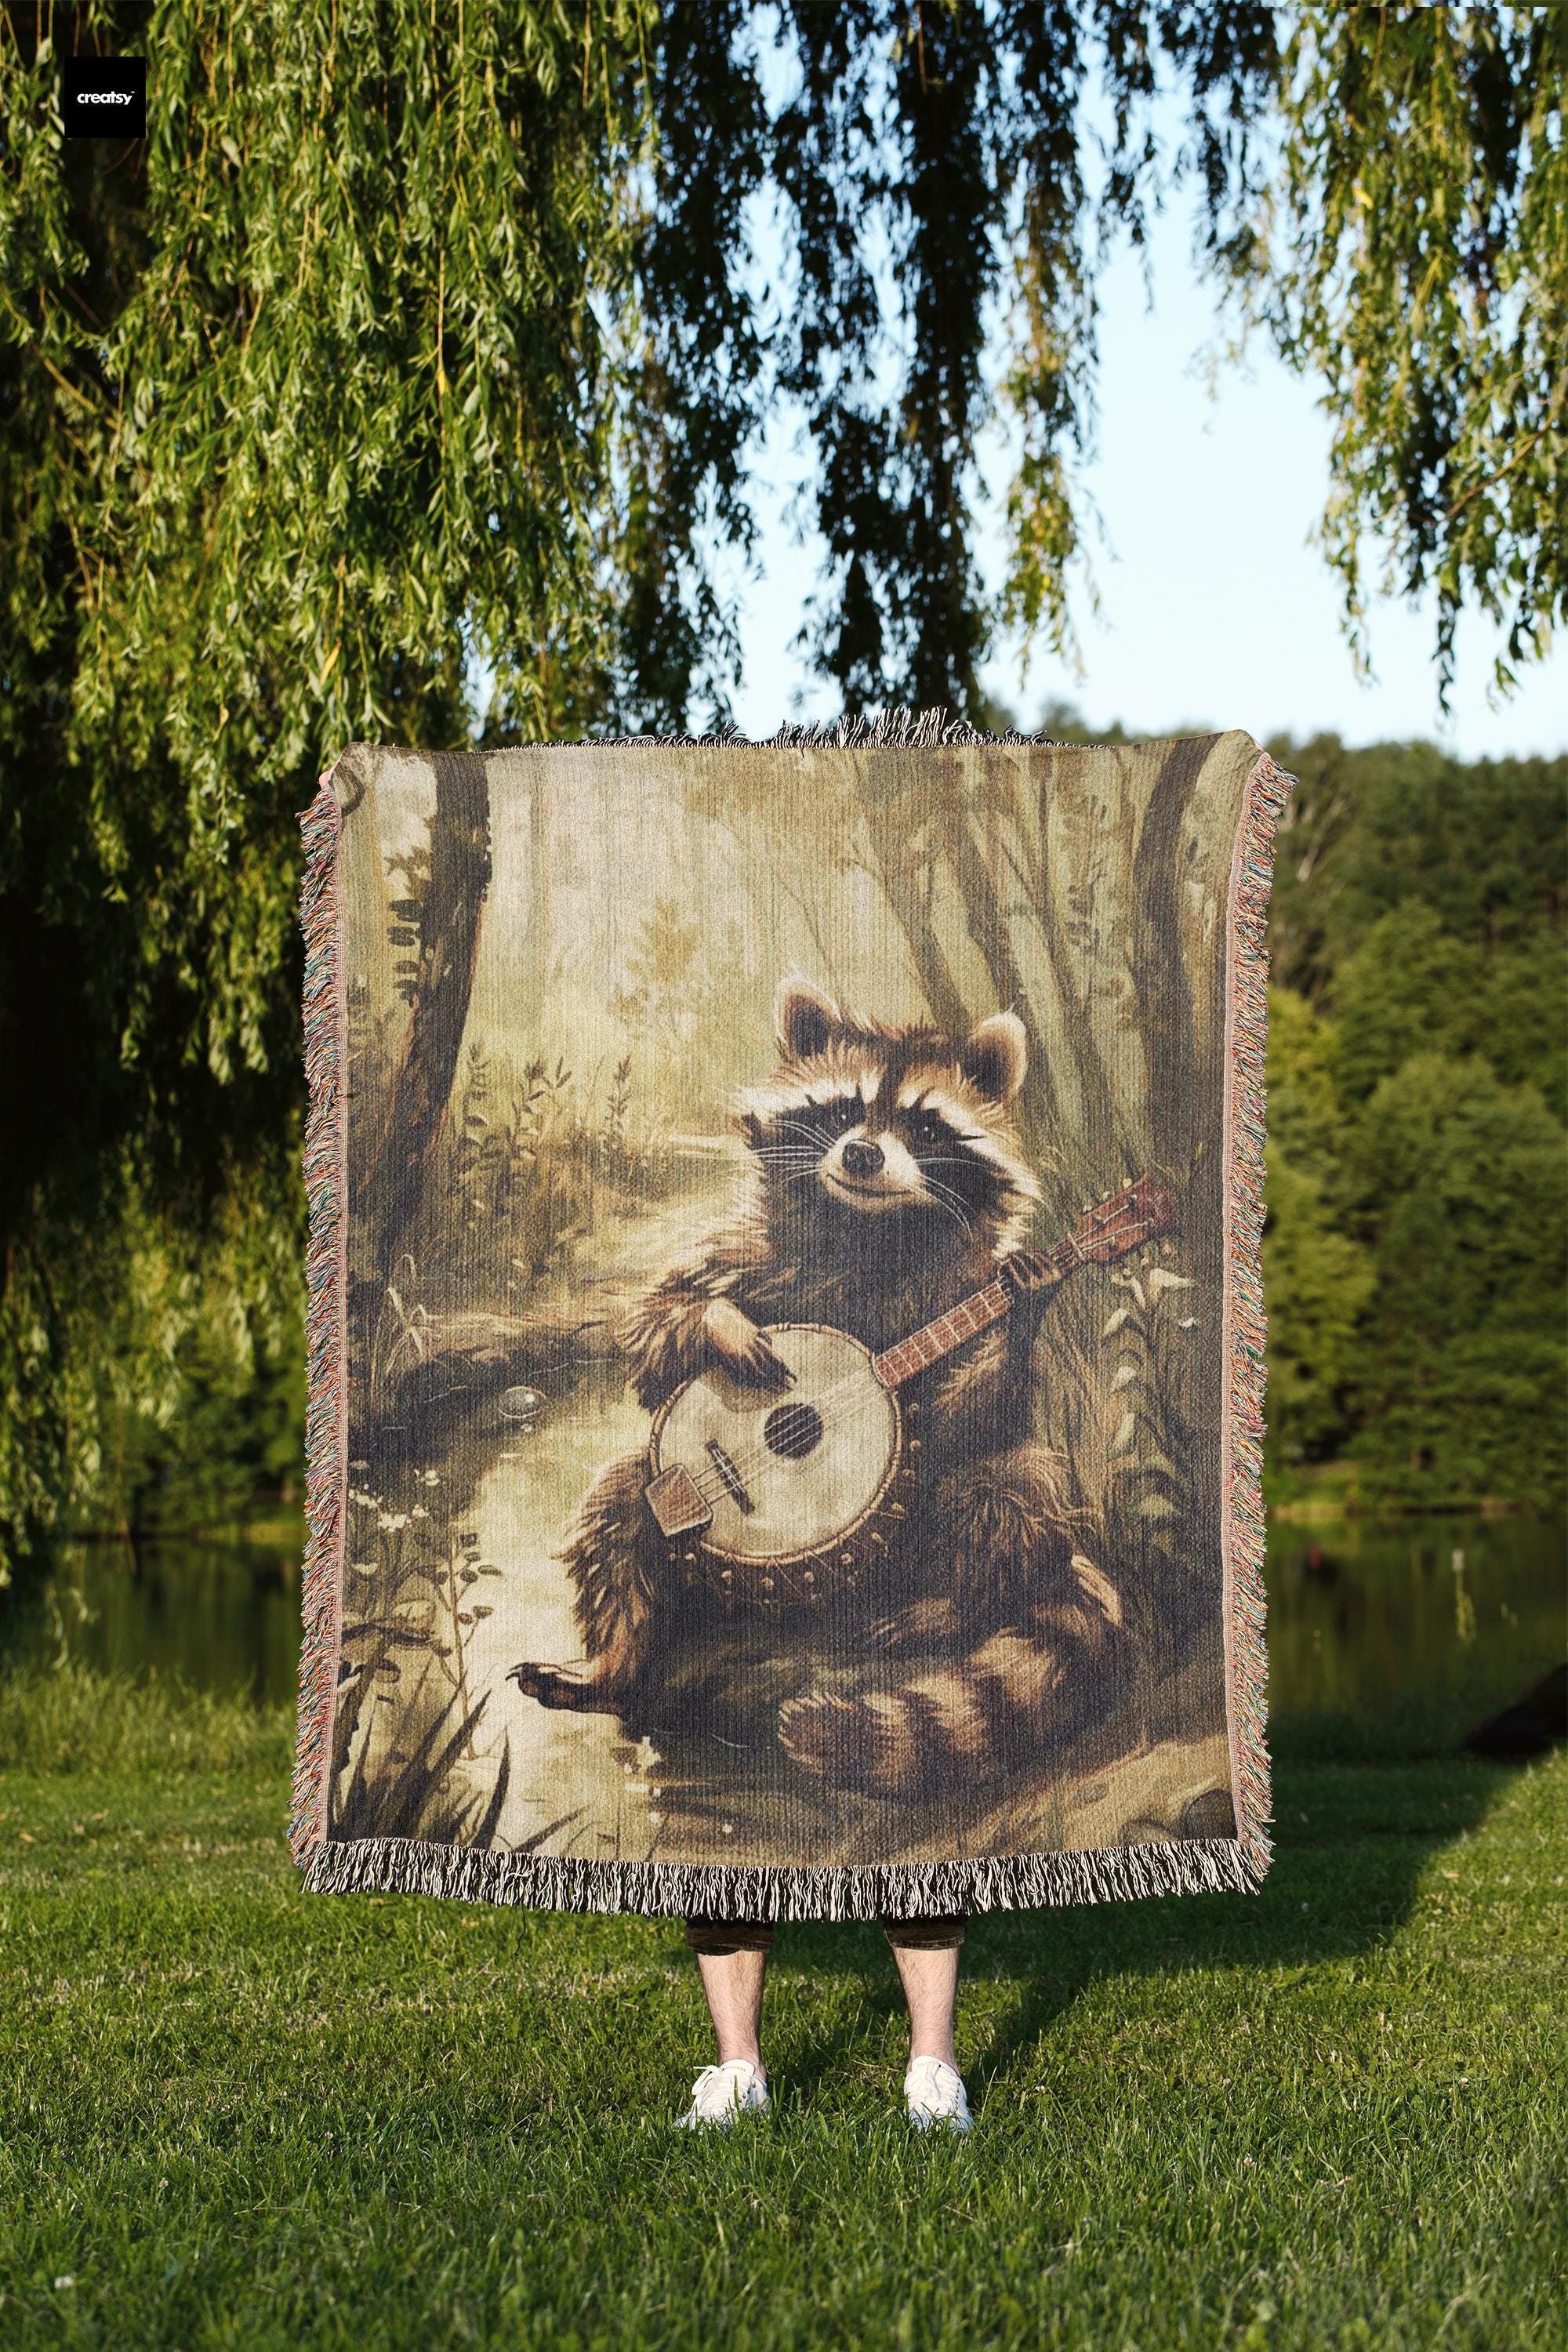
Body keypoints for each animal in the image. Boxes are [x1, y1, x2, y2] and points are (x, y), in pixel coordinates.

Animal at [508, 979, 1126, 1800]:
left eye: (924, 1126)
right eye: (840, 1112)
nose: (862, 1152)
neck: (863, 1228)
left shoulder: (957, 1294)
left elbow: (972, 1414)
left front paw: (1025, 1303)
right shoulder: (742, 1247)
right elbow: (654, 1330)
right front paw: (718, 1325)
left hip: (988, 1526)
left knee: (1003, 1489)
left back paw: (950, 1602)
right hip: (669, 1495)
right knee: (619, 1504)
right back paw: (613, 1665)